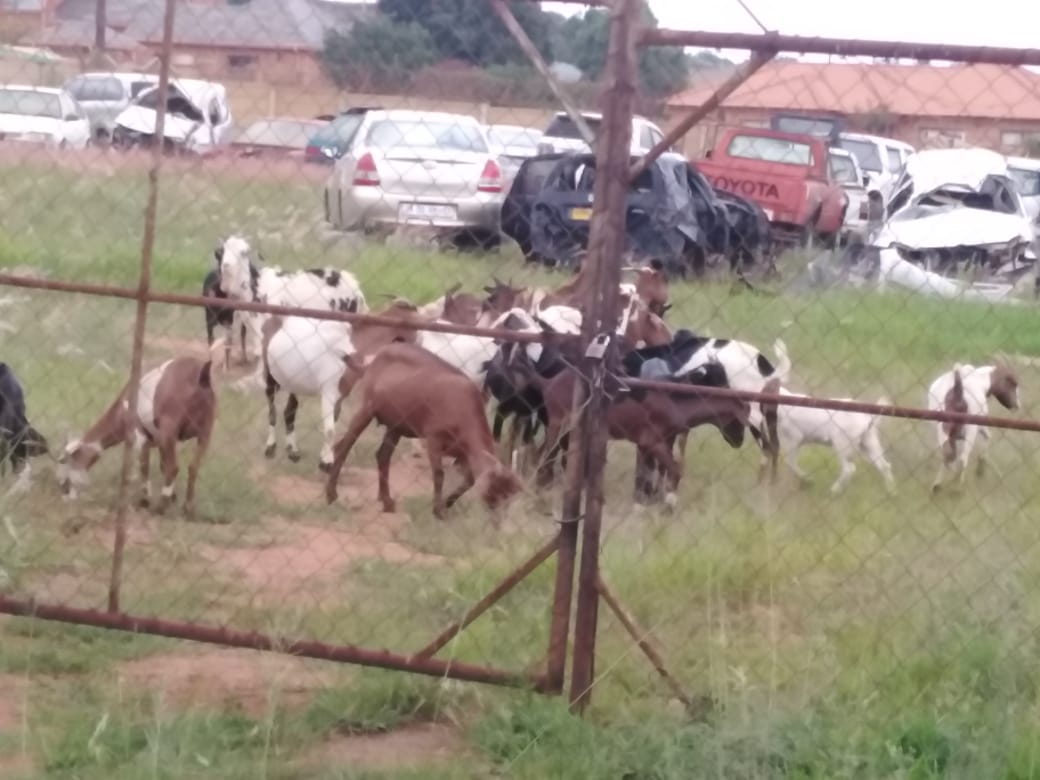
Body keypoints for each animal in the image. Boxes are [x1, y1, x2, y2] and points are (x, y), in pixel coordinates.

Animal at [57, 359, 216, 520]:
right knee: (193, 466)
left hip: (170, 427)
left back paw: (160, 507)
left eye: (66, 462)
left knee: (174, 467)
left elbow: (145, 465)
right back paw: (188, 509)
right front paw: (173, 497)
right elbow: (162, 465)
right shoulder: (159, 440)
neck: (121, 411)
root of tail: (201, 374)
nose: (64, 493)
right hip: (205, 430)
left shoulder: (141, 436)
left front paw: (145, 501)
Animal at [262, 299, 420, 470]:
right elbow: (330, 429)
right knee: (272, 407)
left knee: (289, 411)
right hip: (269, 375)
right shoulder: (328, 390)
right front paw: (327, 462)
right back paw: (270, 448)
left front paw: (324, 457)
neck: (349, 345)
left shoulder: (341, 392)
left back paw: (293, 451)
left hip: (294, 382)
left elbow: (333, 423)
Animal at [322, 345, 524, 522]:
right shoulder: (434, 438)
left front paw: (446, 505)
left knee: (382, 455)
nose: (497, 524)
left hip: (396, 425)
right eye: (492, 493)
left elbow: (469, 480)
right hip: (367, 408)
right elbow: (439, 474)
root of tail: (374, 360)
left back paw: (387, 502)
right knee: (345, 446)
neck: (463, 407)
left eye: (508, 498)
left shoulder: (463, 452)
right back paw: (331, 495)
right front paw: (438, 511)